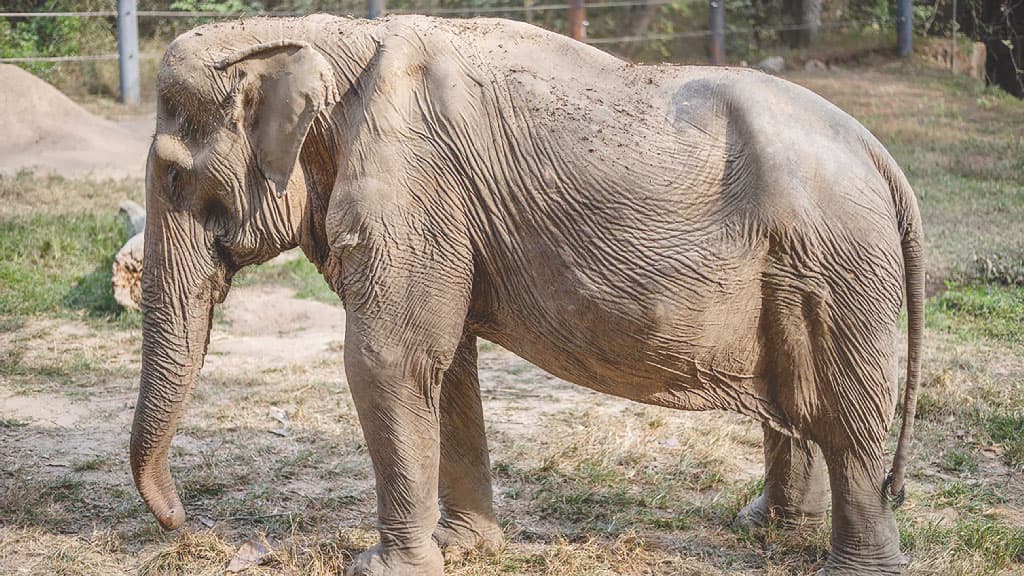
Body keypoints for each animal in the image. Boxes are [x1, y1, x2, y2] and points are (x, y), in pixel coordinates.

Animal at [132, 14, 925, 573]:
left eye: (172, 177)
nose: (186, 524)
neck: (325, 36)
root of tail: (883, 157)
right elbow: (446, 364)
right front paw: (466, 549)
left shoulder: (413, 185)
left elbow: (388, 359)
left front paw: (382, 567)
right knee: (800, 401)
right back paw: (764, 528)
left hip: (837, 266)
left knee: (843, 415)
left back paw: (853, 567)